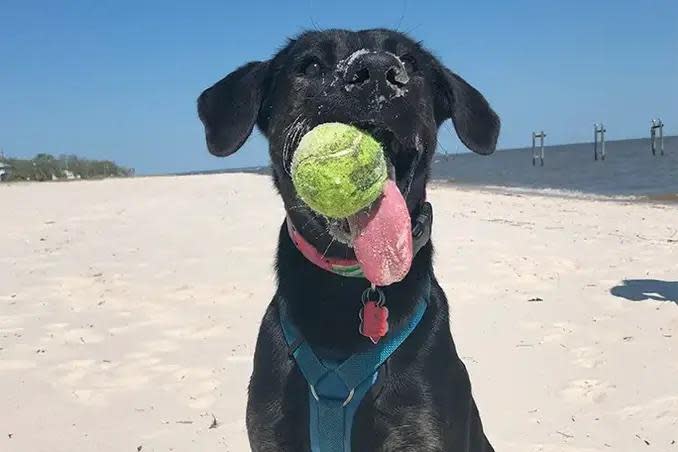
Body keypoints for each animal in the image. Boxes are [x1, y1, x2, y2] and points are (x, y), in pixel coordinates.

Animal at [197, 29, 500, 452]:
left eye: (410, 61)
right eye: (310, 64)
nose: (378, 71)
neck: (344, 290)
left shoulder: (421, 427)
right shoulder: (271, 428)